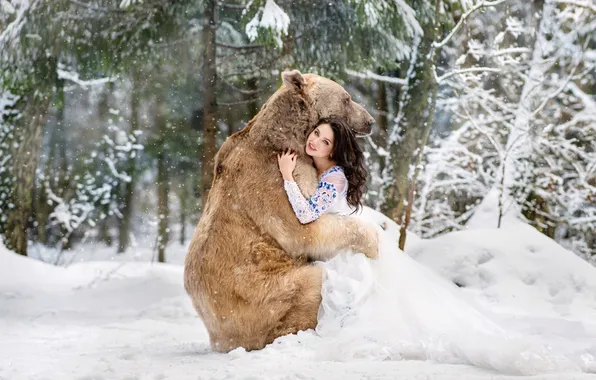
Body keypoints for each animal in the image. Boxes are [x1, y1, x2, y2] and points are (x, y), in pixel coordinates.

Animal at [184, 70, 380, 354]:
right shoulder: (273, 179)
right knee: (309, 285)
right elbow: (305, 230)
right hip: (265, 293)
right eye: (347, 97)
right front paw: (374, 242)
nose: (370, 121)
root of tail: (220, 338)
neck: (291, 137)